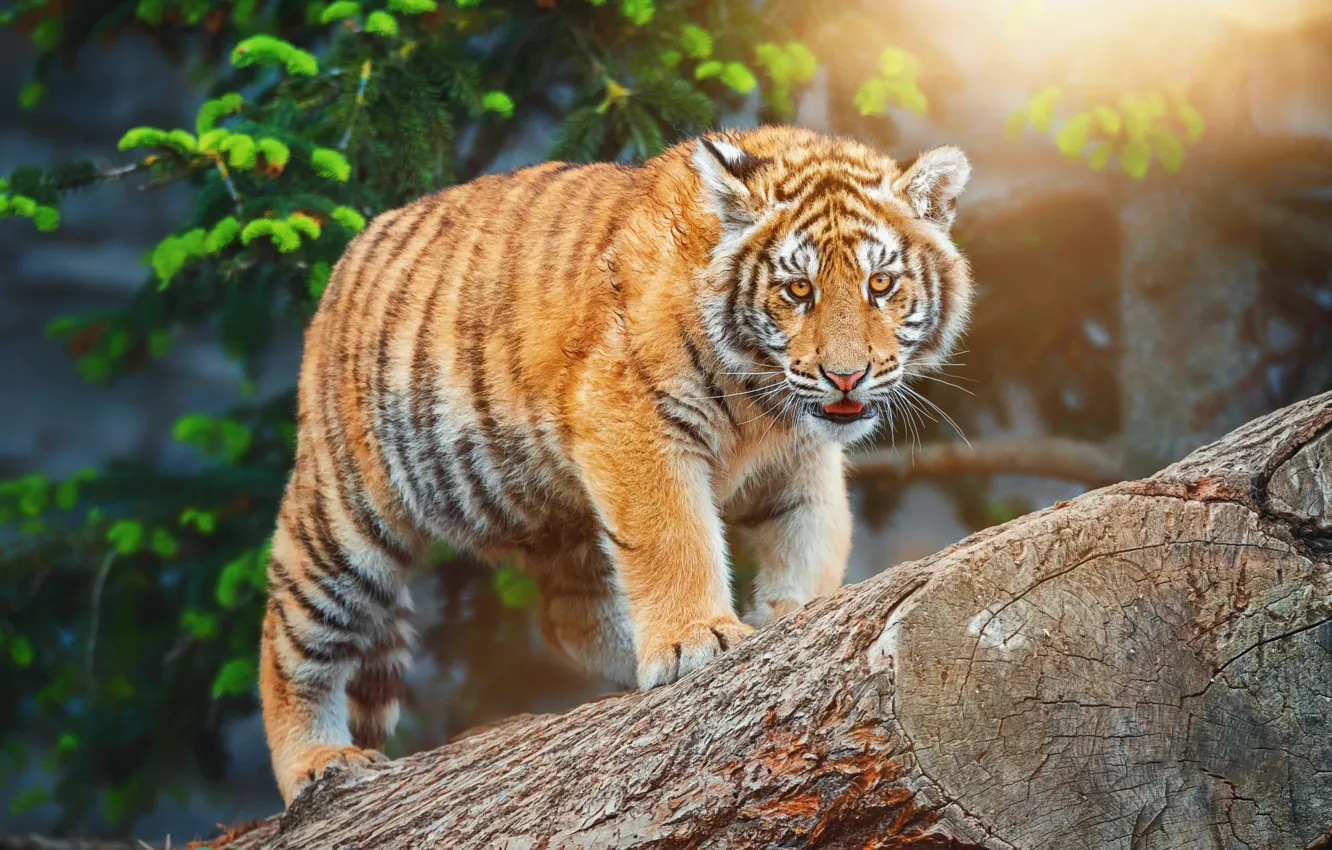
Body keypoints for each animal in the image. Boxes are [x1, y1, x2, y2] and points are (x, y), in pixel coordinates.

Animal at [259, 124, 973, 803]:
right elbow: (674, 538)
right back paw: (318, 764)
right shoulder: (632, 419)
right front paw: (696, 641)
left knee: (565, 617)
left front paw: (788, 617)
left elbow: (811, 539)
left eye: (880, 283)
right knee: (288, 638)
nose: (846, 377)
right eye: (799, 289)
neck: (765, 406)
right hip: (343, 518)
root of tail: (351, 253)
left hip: (551, 511)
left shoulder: (800, 466)